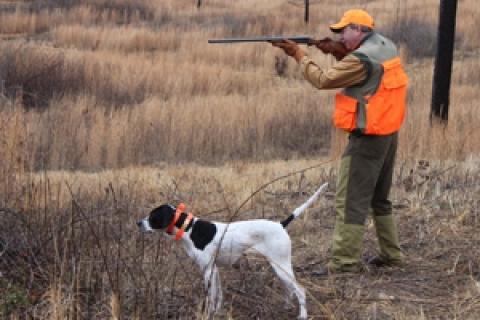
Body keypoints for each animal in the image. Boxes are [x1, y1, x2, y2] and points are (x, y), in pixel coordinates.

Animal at [137, 181, 328, 318]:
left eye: (153, 216)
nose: (138, 223)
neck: (189, 228)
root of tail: (280, 224)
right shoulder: (214, 270)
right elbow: (218, 295)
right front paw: (218, 311)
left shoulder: (207, 270)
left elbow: (210, 297)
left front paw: (209, 313)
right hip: (278, 267)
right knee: (289, 289)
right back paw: (286, 306)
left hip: (281, 266)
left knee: (300, 291)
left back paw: (302, 315)